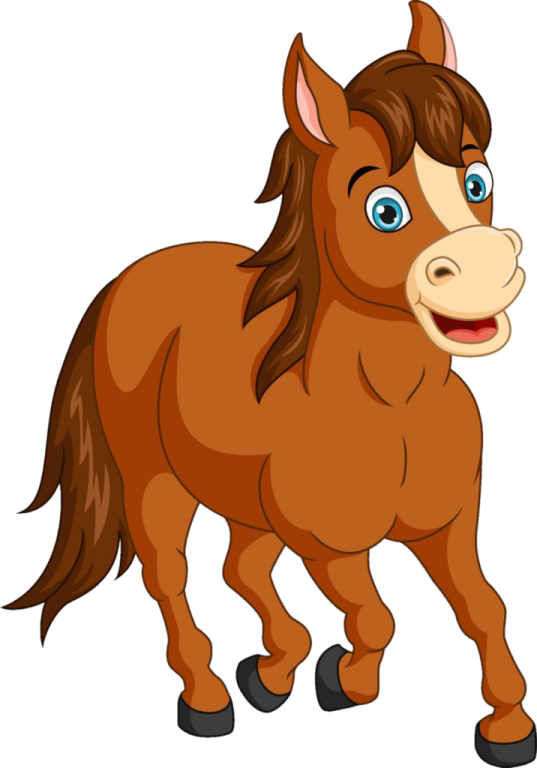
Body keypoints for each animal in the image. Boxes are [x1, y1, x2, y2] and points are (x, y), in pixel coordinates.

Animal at [4, 2, 535, 763]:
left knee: (241, 570)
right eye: (384, 209)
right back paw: (208, 697)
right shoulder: (329, 547)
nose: (485, 270)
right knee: (170, 575)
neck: (391, 405)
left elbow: (483, 607)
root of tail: (131, 277)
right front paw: (346, 683)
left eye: (476, 183)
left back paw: (272, 672)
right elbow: (376, 618)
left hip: (244, 501)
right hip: (154, 482)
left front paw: (508, 726)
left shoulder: (448, 527)